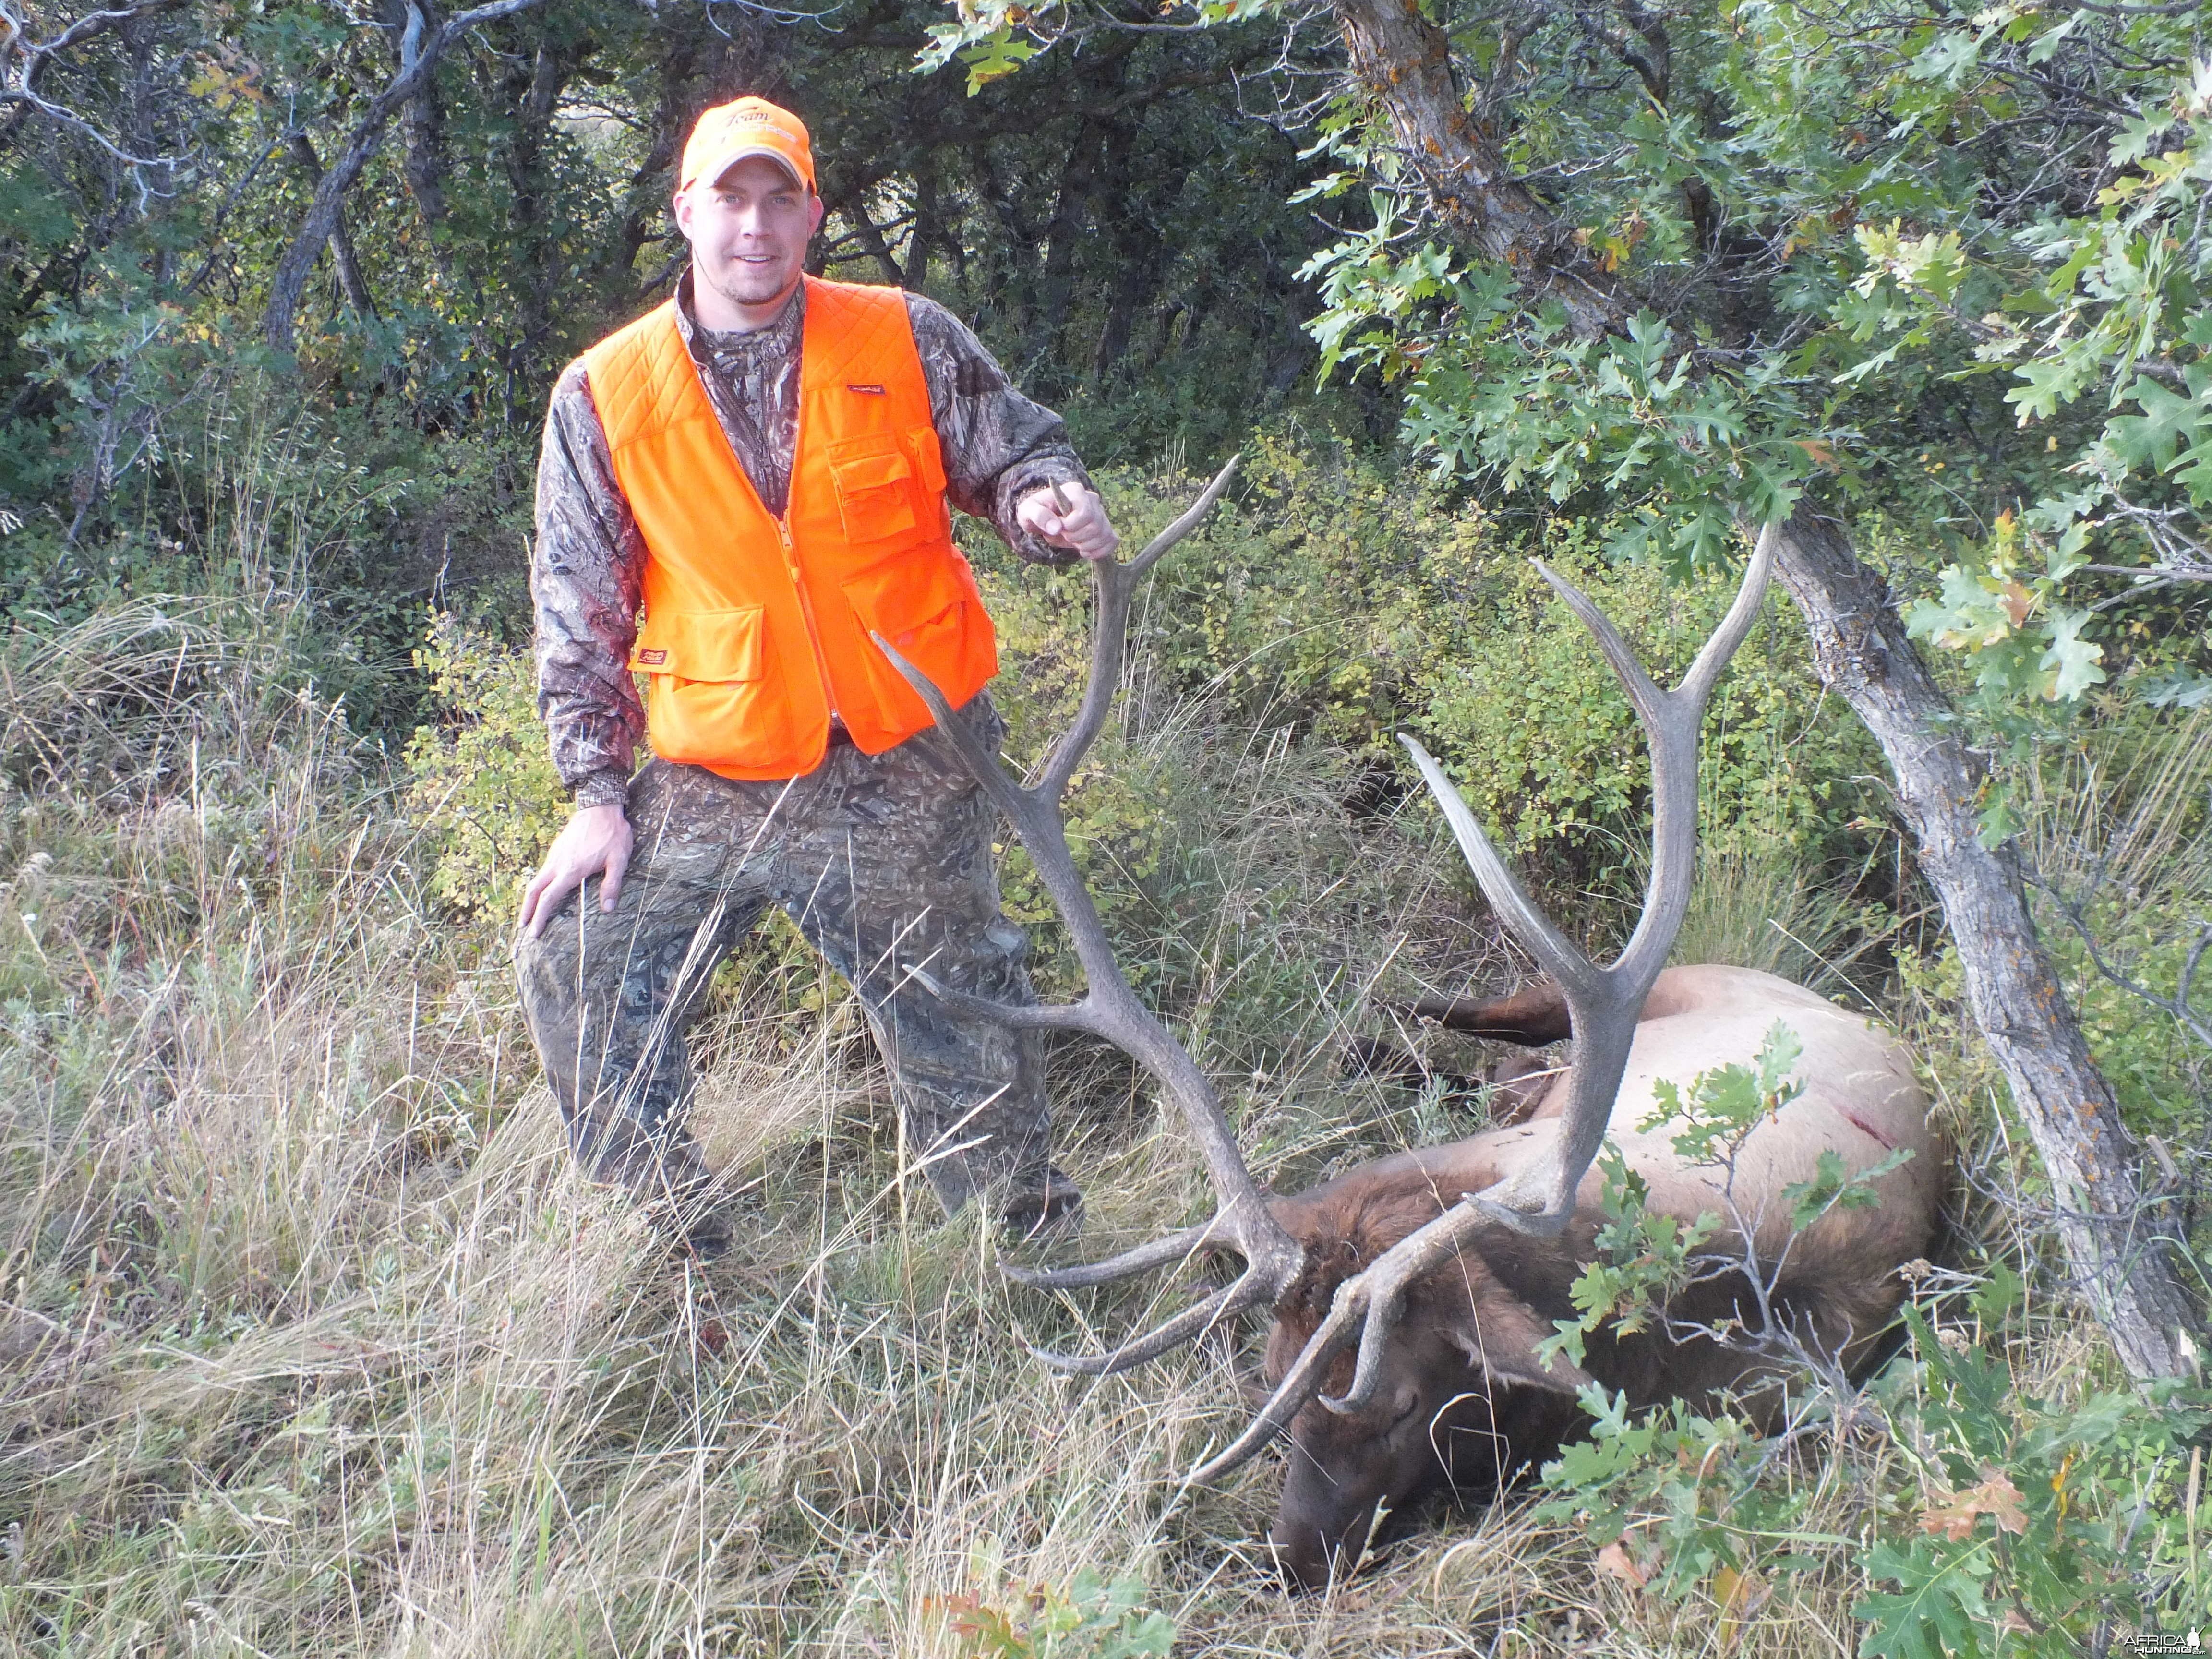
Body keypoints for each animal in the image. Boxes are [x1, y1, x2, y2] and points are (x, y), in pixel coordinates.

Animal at [871, 473, 1947, 1592]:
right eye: (1269, 1372)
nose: (1288, 1558)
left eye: (1396, 1406)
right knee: (1489, 1021)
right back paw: (1381, 1018)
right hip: (1629, 995)